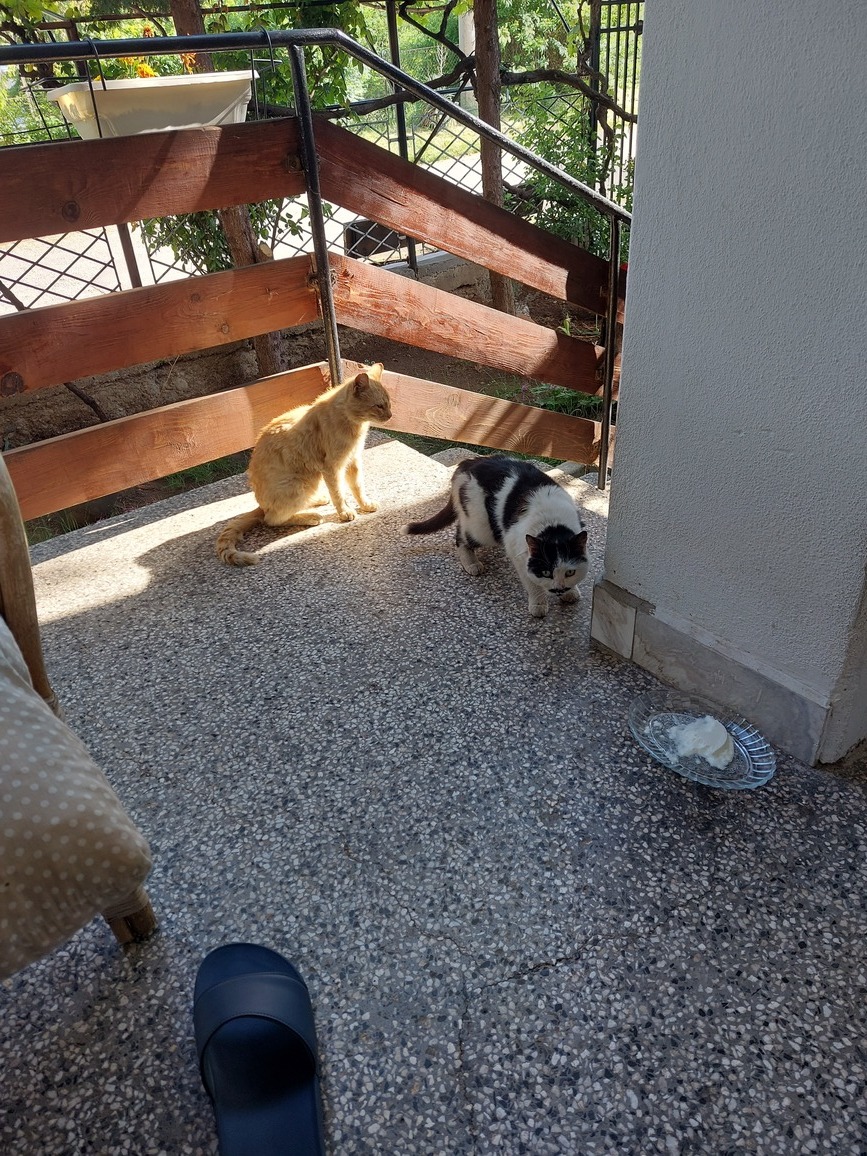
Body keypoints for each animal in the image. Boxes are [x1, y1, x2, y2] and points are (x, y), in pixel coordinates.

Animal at [216, 362, 391, 567]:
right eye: (379, 405)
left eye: (389, 403)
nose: (390, 415)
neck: (352, 423)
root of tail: (261, 505)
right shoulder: (332, 467)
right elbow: (339, 493)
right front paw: (345, 512)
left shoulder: (353, 461)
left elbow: (357, 487)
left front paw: (365, 504)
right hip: (301, 483)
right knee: (272, 519)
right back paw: (311, 517)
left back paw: (318, 500)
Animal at [405, 456, 589, 617]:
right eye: (545, 572)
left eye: (570, 572)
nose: (559, 588)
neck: (552, 524)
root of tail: (468, 463)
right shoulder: (519, 553)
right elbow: (532, 584)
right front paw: (538, 604)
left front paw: (570, 592)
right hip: (481, 529)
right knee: (460, 535)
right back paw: (471, 563)